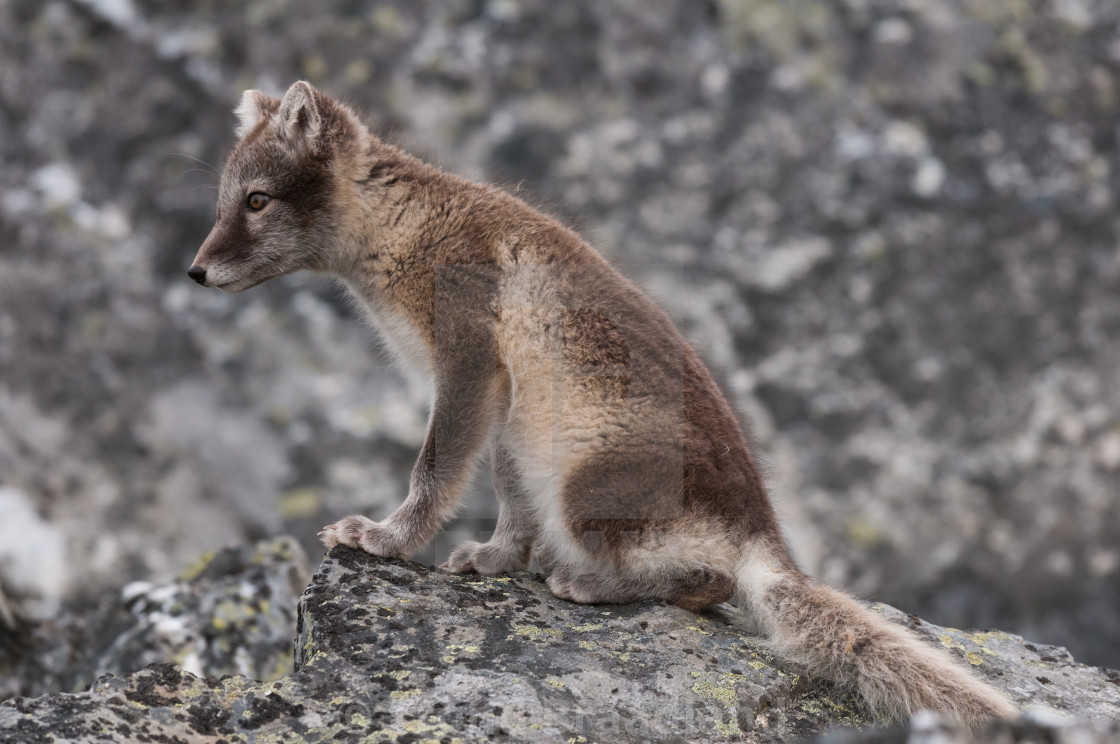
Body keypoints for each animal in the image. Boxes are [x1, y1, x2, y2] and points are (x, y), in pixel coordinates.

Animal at [190, 81, 1016, 726]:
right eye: (224, 200)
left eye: (257, 201)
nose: (194, 272)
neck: (409, 229)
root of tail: (767, 538)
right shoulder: (508, 407)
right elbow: (506, 496)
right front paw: (495, 559)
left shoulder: (467, 361)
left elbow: (434, 469)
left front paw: (385, 539)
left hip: (587, 490)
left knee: (709, 585)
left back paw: (586, 583)